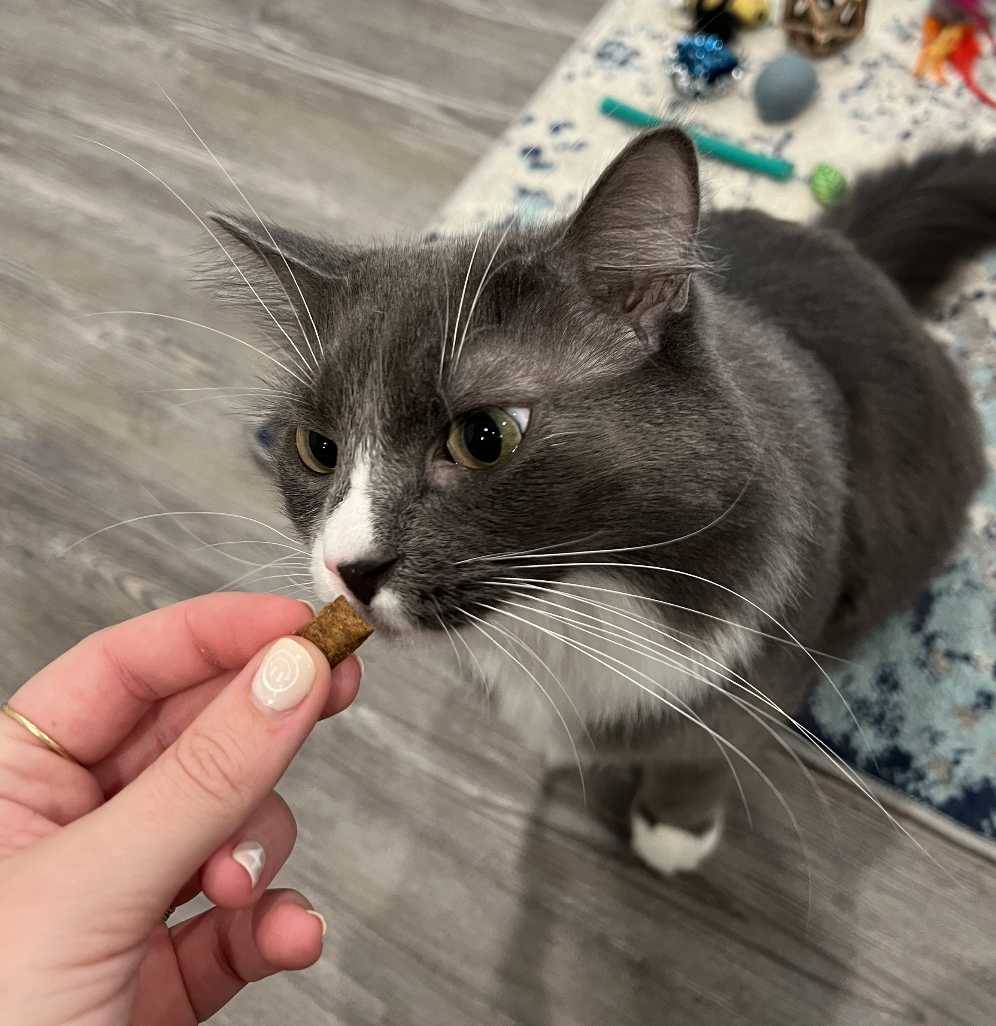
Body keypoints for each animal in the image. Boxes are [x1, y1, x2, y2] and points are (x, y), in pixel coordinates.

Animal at [208, 130, 988, 874]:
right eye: (318, 448)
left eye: (486, 437)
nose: (349, 569)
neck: (575, 608)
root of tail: (850, 251)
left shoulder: (755, 674)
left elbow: (704, 755)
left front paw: (673, 832)